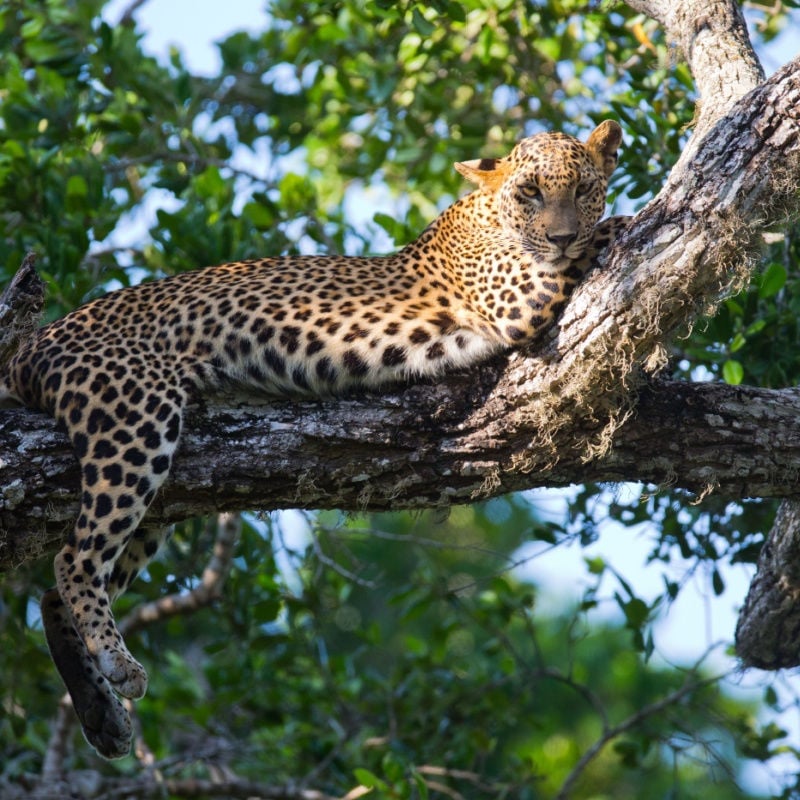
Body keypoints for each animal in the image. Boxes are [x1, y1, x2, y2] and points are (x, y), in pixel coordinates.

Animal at [0, 119, 628, 756]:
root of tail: (33, 343)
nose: (561, 237)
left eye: (581, 189)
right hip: (133, 419)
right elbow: (607, 232)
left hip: (161, 493)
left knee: (57, 589)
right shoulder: (517, 293)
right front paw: (619, 224)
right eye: (530, 193)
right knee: (74, 558)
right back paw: (118, 665)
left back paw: (101, 715)